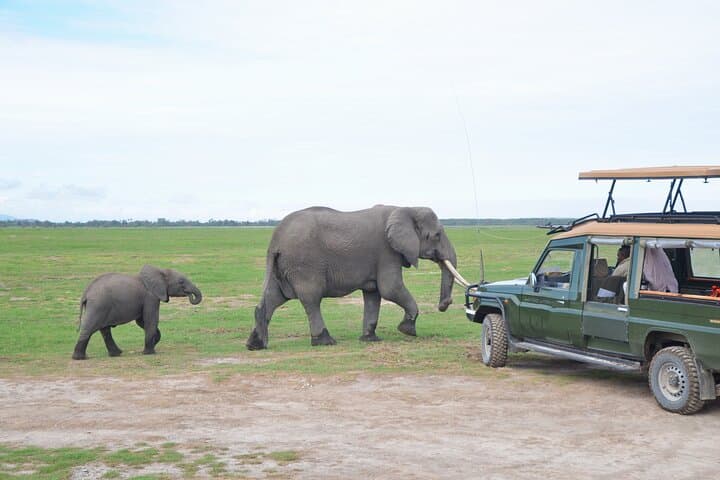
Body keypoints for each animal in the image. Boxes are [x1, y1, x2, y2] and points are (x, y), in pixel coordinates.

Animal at [72, 264, 202, 360]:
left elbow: (141, 322)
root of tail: (86, 292)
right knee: (89, 328)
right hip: (98, 305)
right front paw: (149, 353)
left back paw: (116, 354)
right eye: (181, 282)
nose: (190, 295)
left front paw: (154, 342)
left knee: (105, 330)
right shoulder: (150, 297)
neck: (160, 270)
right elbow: (151, 320)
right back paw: (80, 358)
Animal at [246, 205, 467, 350]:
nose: (444, 304)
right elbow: (391, 288)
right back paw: (325, 342)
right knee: (311, 299)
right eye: (437, 235)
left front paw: (370, 339)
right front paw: (407, 330)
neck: (406, 208)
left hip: (284, 266)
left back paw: (255, 345)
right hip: (303, 264)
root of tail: (274, 241)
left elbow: (374, 294)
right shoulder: (386, 252)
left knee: (274, 297)